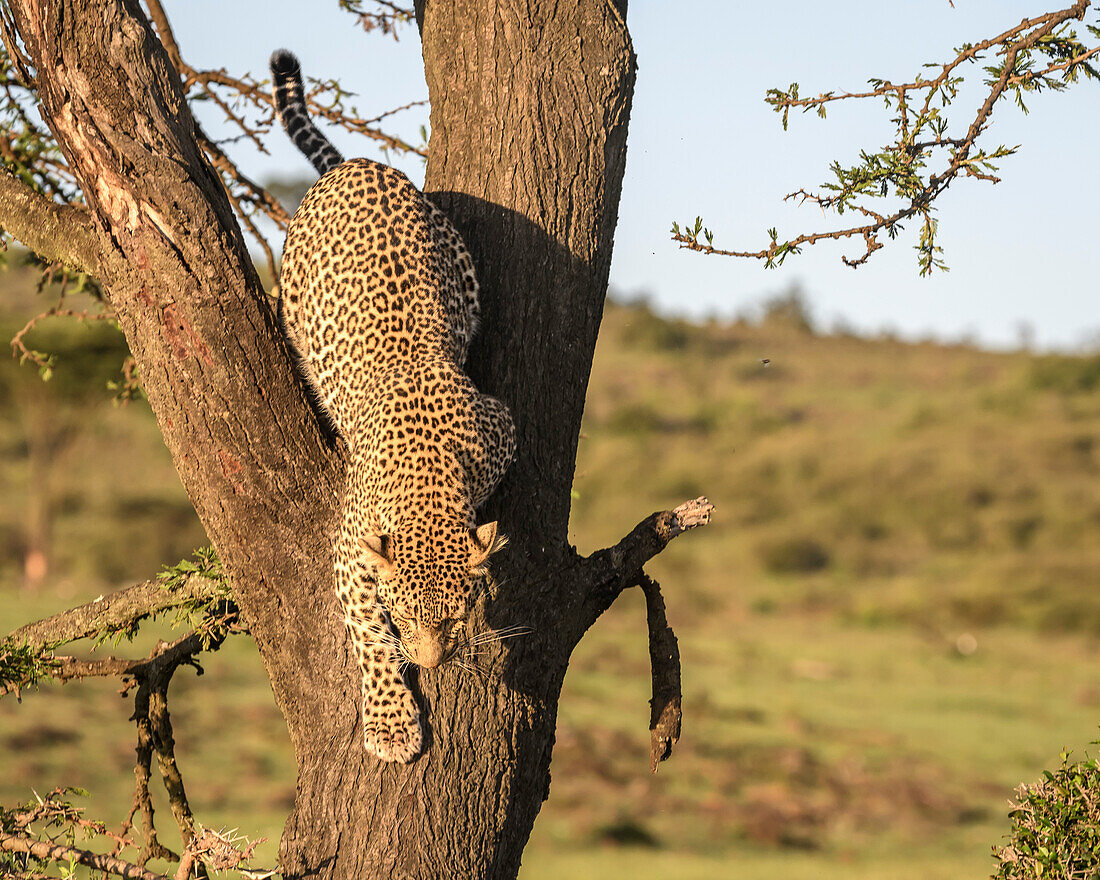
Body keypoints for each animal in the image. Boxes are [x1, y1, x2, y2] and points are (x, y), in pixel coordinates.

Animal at [272, 49, 517, 761]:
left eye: (456, 614)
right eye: (401, 613)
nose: (434, 663)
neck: (431, 476)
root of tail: (357, 164)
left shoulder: (502, 426)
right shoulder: (350, 547)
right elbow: (367, 638)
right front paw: (390, 722)